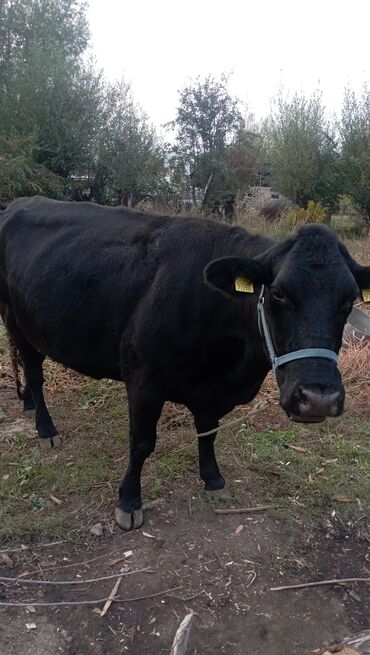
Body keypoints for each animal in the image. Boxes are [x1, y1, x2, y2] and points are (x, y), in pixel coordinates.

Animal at [0, 197, 370, 532]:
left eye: (350, 299)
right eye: (278, 293)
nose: (318, 398)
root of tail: (17, 203)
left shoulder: (212, 390)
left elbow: (208, 432)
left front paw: (213, 478)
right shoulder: (144, 380)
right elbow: (142, 442)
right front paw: (129, 502)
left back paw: (28, 404)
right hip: (17, 322)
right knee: (34, 372)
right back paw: (46, 428)